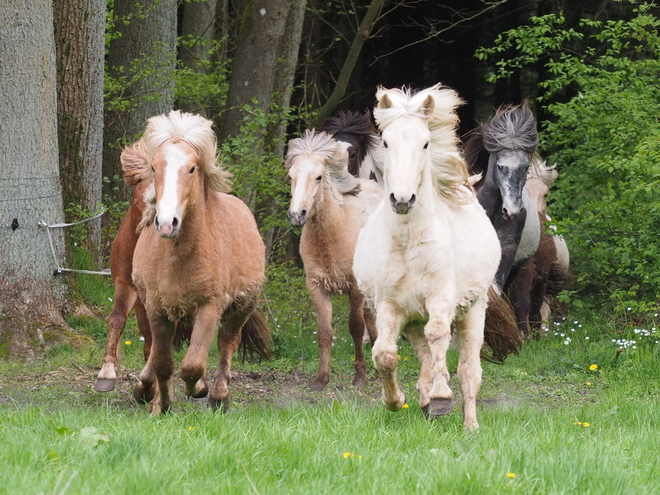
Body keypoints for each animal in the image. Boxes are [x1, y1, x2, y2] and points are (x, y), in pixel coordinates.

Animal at [125, 111, 270, 414]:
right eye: (154, 167)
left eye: (192, 169)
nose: (166, 223)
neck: (178, 257)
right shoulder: (156, 307)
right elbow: (163, 361)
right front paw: (162, 405)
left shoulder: (209, 308)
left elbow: (192, 366)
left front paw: (200, 388)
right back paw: (146, 388)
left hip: (242, 308)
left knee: (227, 342)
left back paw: (219, 396)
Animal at [284, 129, 382, 392]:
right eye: (291, 177)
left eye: (319, 177)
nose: (296, 215)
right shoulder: (317, 286)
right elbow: (325, 332)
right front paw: (321, 379)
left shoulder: (354, 288)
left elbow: (355, 328)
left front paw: (359, 377)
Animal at [354, 85, 524, 430]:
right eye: (386, 142)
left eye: (425, 143)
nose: (402, 199)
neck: (409, 243)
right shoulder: (390, 306)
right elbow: (384, 354)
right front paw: (395, 400)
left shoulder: (441, 298)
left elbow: (439, 336)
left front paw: (442, 396)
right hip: (412, 320)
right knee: (423, 353)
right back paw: (424, 400)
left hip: (473, 310)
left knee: (468, 370)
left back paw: (468, 423)